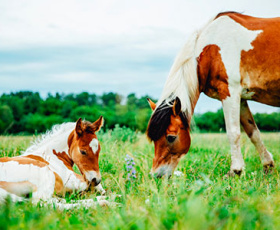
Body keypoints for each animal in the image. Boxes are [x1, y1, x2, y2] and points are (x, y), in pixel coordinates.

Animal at [148, 11, 278, 178]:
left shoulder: (230, 93)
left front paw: (235, 170)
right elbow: (253, 132)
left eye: (171, 137)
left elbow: (233, 133)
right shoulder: (241, 98)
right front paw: (268, 166)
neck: (211, 49)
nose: (156, 175)